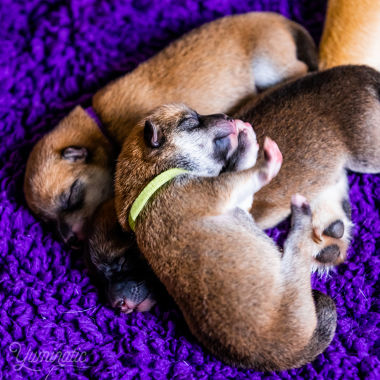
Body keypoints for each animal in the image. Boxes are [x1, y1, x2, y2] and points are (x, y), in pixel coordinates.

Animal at [23, 11, 318, 246]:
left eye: (72, 197)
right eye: (48, 221)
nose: (70, 241)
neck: (102, 129)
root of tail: (273, 18)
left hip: (269, 66)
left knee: (300, 67)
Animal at [113, 104, 336, 372]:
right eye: (190, 122)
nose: (228, 117)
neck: (151, 179)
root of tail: (284, 358)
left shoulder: (238, 200)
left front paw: (246, 136)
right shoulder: (217, 190)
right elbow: (245, 175)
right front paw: (264, 157)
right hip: (294, 279)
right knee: (299, 246)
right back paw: (301, 213)